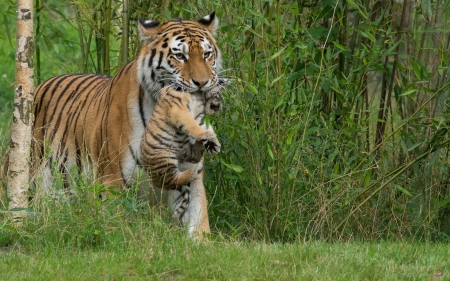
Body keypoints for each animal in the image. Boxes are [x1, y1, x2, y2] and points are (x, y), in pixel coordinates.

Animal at [30, 12, 224, 237]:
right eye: (180, 56)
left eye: (207, 54)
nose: (202, 83)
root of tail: (40, 85)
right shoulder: (113, 179)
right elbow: (116, 227)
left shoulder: (190, 175)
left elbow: (198, 219)